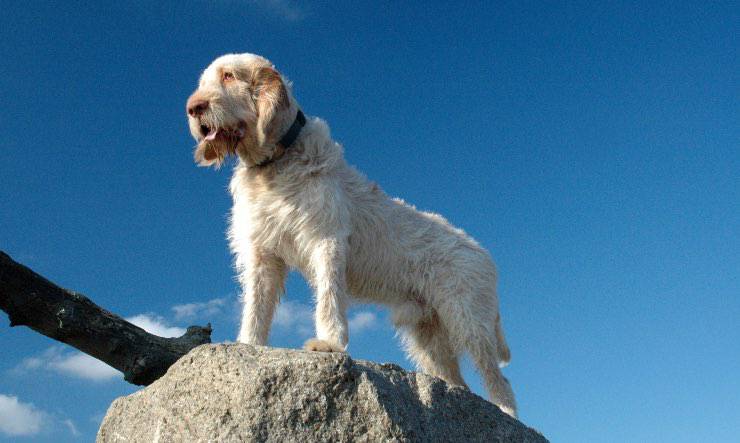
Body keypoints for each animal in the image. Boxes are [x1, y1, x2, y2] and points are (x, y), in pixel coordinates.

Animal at [188, 53, 516, 418]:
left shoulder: (326, 241)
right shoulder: (263, 255)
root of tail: (484, 256)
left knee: (499, 380)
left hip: (469, 322)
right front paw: (248, 345)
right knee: (458, 380)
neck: (277, 162)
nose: (193, 108)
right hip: (428, 335)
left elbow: (328, 297)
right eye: (204, 81)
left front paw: (329, 344)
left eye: (229, 76)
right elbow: (256, 308)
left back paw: (507, 415)